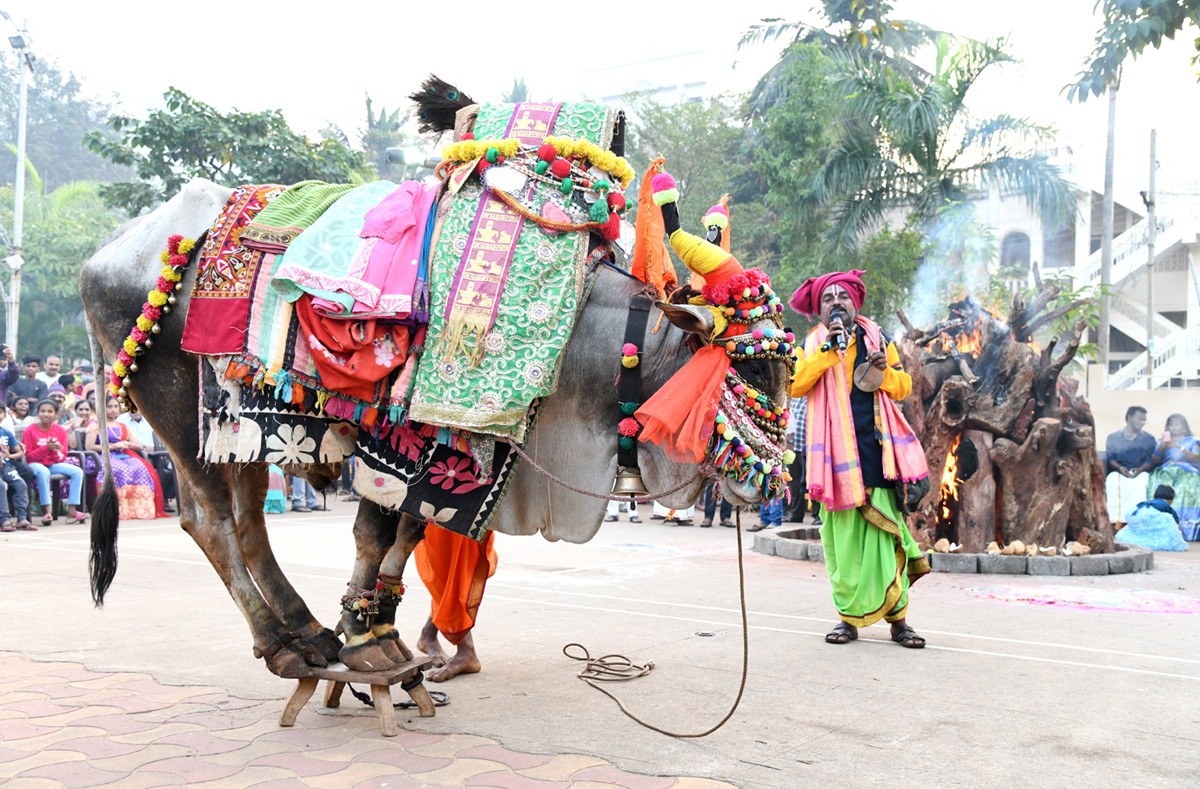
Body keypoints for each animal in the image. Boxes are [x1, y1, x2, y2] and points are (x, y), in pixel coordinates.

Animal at [84, 78, 796, 681]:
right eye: (747, 366)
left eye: (783, 366)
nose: (772, 481)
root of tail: (111, 251)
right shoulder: (401, 441)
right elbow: (376, 530)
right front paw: (366, 640)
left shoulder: (466, 462)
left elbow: (409, 532)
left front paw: (375, 628)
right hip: (174, 408)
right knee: (210, 522)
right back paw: (280, 644)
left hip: (238, 430)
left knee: (248, 518)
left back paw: (304, 633)